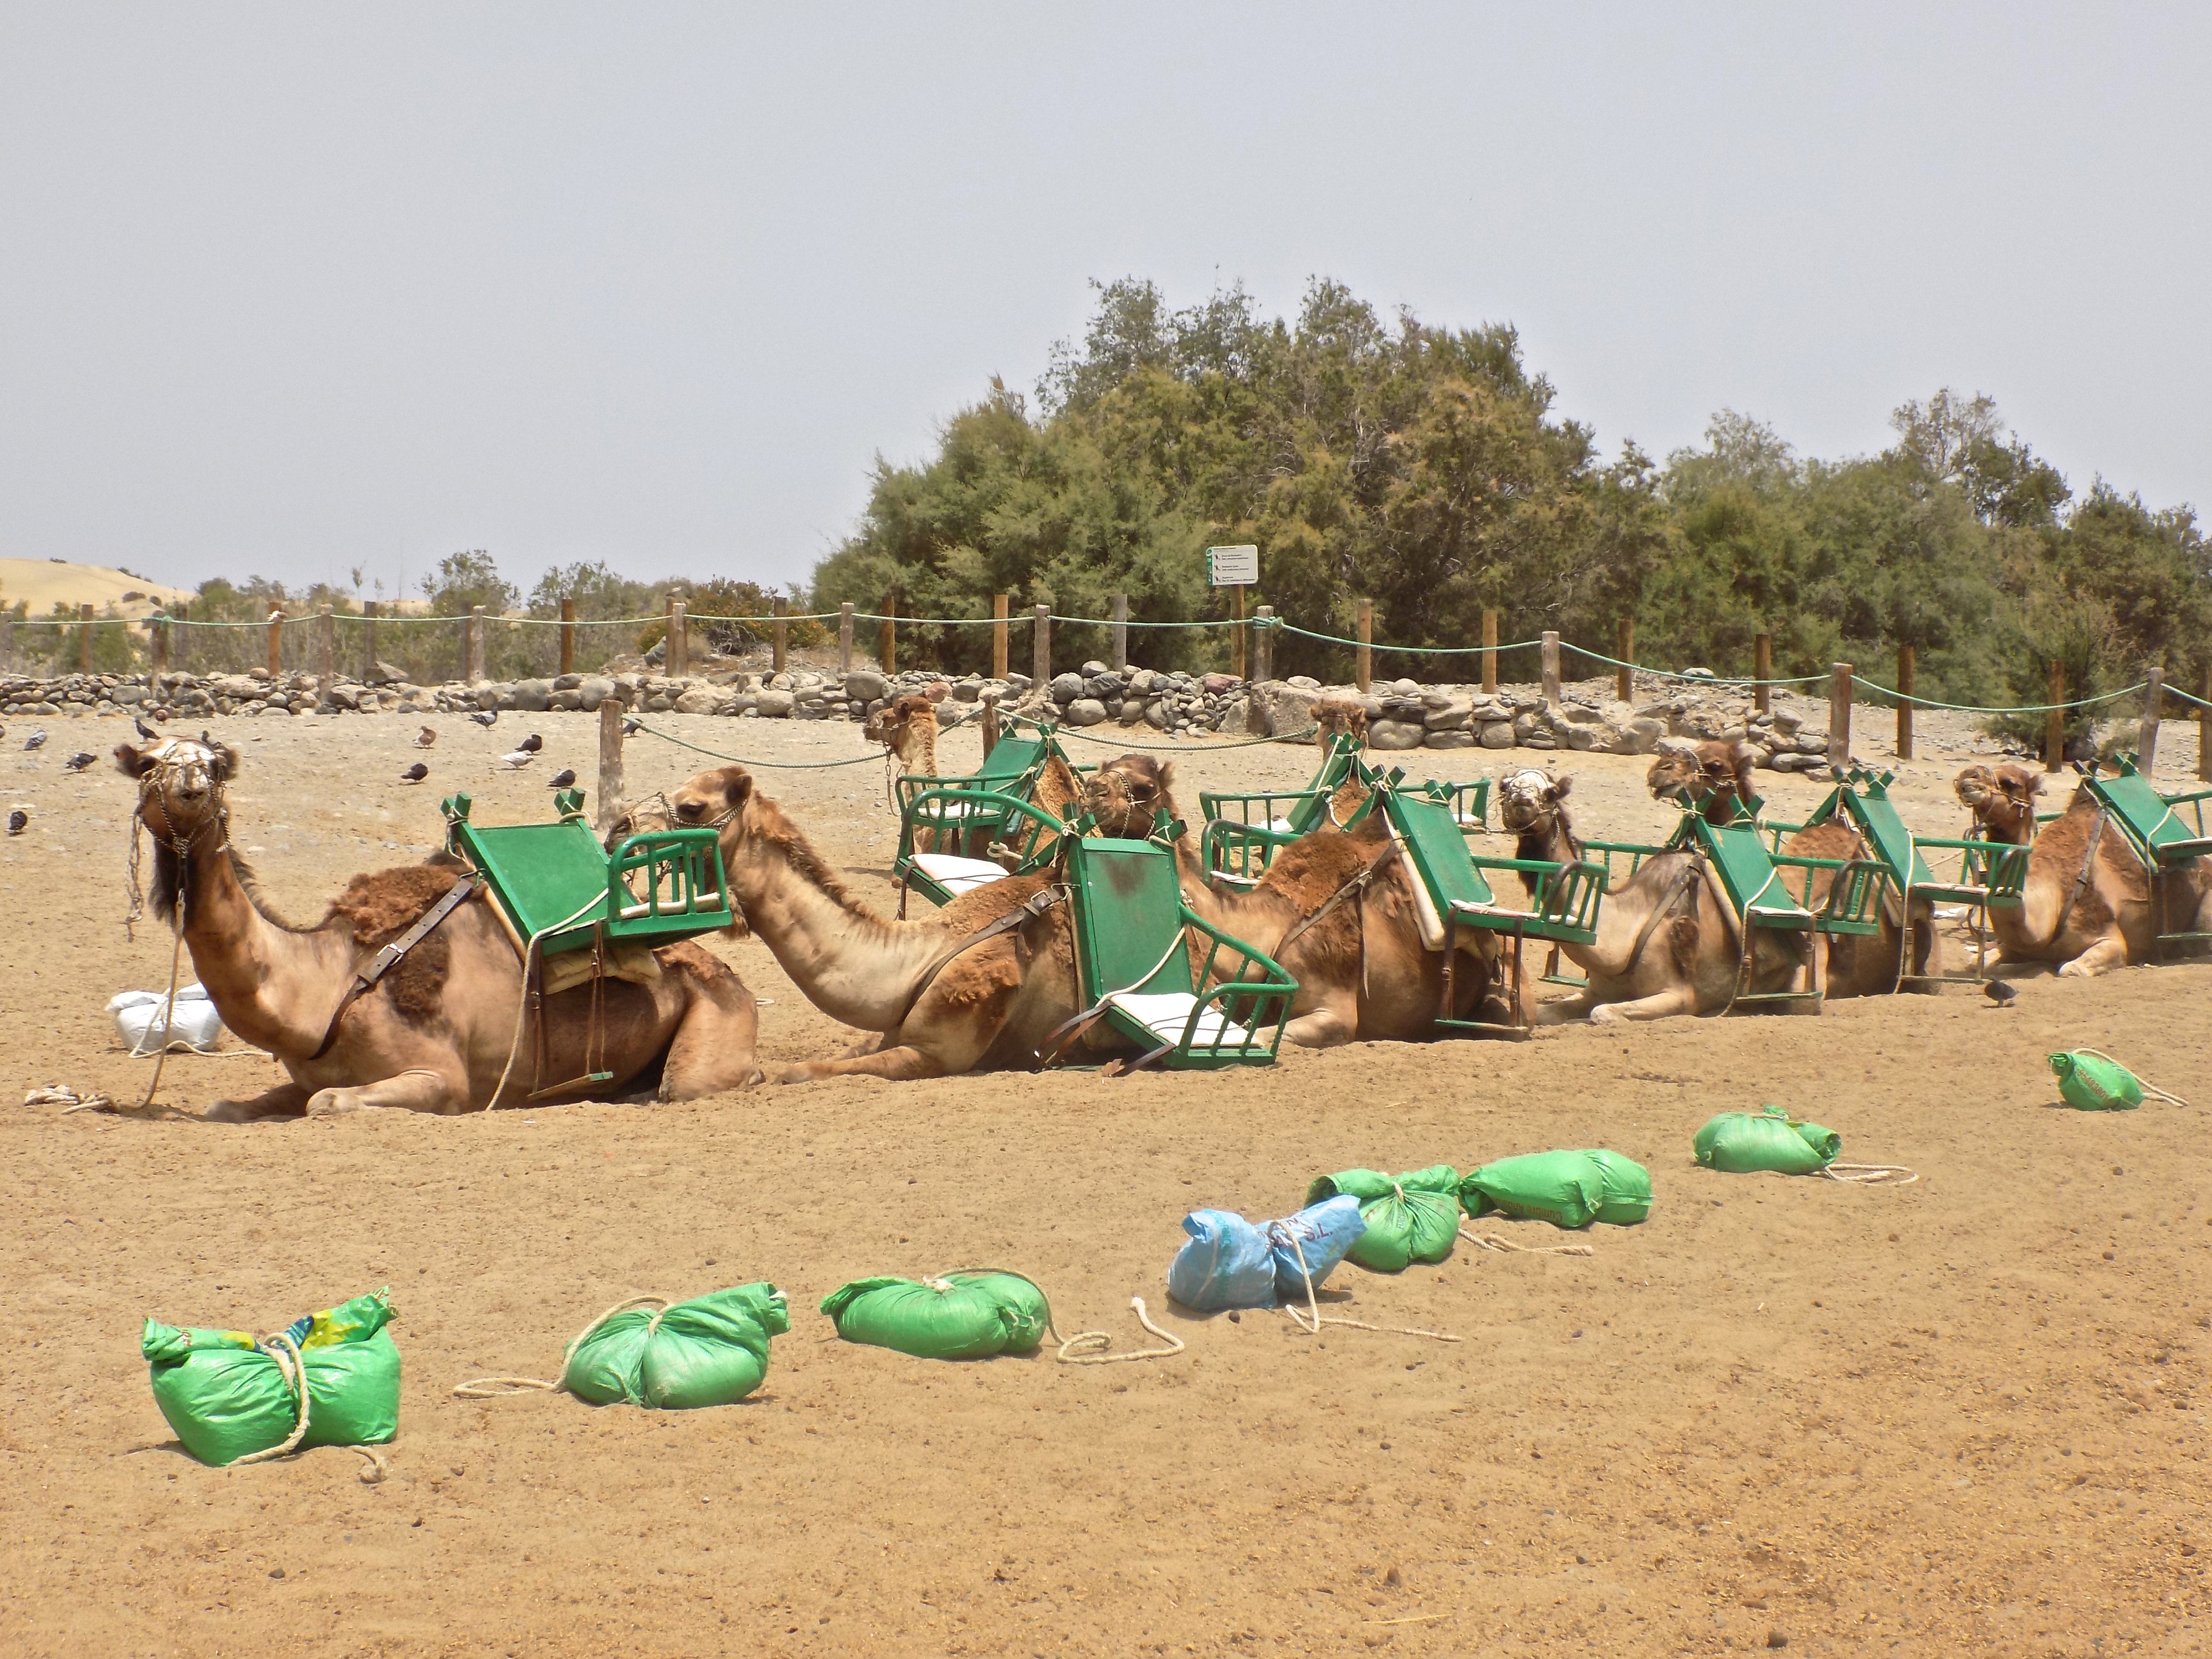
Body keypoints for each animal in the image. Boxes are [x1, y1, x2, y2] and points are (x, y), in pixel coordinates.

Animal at [121, 743, 765, 1124]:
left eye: (210, 764)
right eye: (150, 761)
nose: (188, 784)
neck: (328, 985)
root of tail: (734, 977)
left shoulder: (442, 1079)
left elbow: (327, 1103)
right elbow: (228, 1107)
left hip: (711, 1023)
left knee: (692, 1083)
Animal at [1486, 769, 1814, 1026]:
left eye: (1551, 792)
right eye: (1506, 786)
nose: (1521, 800)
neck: (1625, 931)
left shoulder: (1680, 996)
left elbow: (1601, 1014)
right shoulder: (1597, 989)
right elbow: (1546, 1014)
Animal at [1955, 769, 2212, 986]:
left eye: (2010, 782)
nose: (1967, 777)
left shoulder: (2110, 940)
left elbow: (2070, 969)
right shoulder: (2018, 944)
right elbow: (1975, 961)